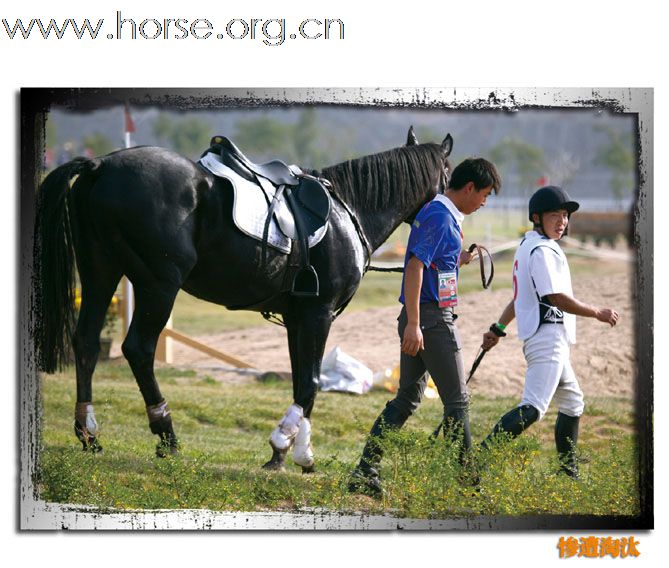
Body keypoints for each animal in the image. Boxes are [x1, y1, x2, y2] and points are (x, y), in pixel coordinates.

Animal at [32, 127, 454, 470]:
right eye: (449, 175)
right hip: (159, 285)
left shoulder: (298, 319)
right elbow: (311, 383)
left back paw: (89, 433)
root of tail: (99, 165)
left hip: (100, 272)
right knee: (138, 348)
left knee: (87, 341)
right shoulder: (319, 314)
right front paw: (292, 449)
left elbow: (301, 380)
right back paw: (166, 435)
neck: (347, 213)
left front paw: (285, 452)